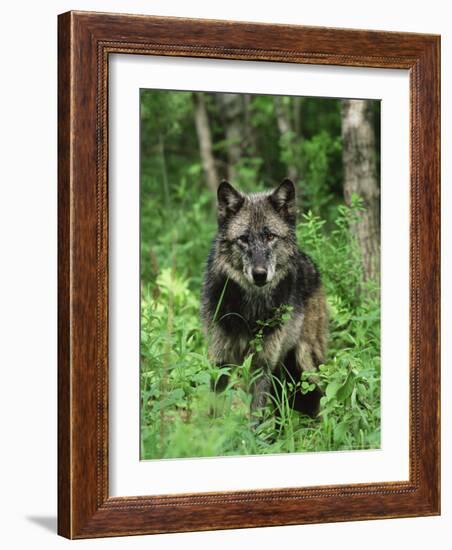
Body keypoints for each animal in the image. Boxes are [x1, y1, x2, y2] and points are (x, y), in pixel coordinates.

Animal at [201, 180, 328, 418]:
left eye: (270, 237)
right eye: (243, 239)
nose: (259, 274)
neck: (250, 310)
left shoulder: (262, 364)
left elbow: (256, 415)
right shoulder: (220, 359)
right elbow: (215, 407)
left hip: (304, 362)